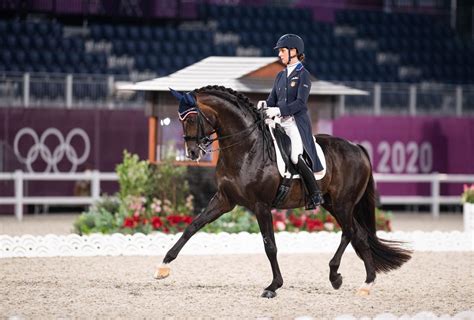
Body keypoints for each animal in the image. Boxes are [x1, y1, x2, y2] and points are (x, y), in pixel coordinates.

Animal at [155, 85, 412, 298]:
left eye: (192, 118)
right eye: (179, 119)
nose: (192, 153)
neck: (246, 147)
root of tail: (357, 148)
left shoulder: (261, 205)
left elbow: (270, 245)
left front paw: (273, 286)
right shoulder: (224, 200)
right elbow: (192, 226)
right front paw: (163, 267)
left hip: (343, 204)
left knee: (351, 233)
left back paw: (344, 278)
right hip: (332, 204)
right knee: (356, 235)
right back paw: (358, 282)